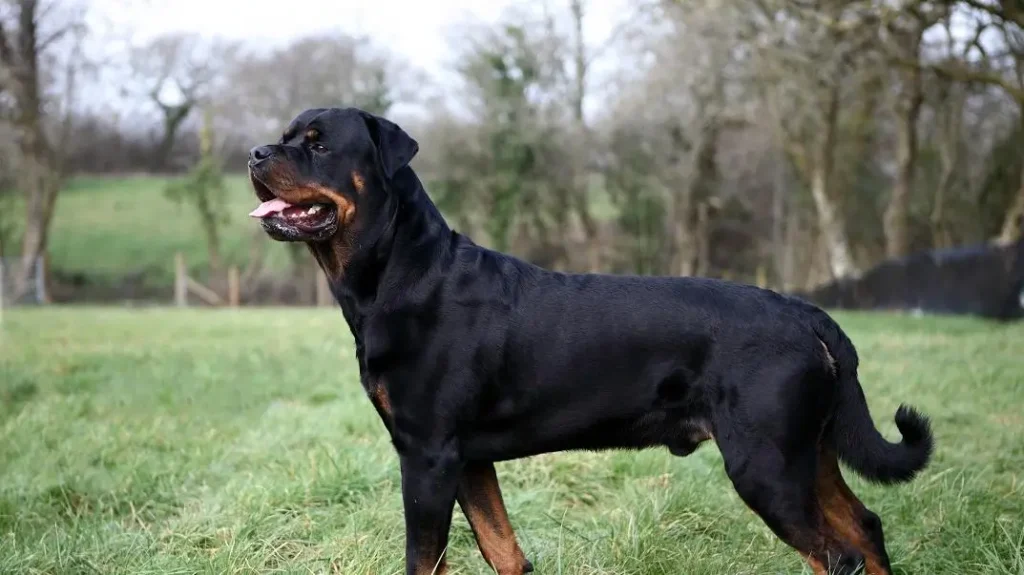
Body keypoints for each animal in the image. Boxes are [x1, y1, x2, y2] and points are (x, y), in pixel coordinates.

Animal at [247, 108, 937, 572]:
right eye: (285, 136)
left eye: (317, 145)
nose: (254, 153)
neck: (400, 271)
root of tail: (809, 316)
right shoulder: (467, 459)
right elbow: (505, 552)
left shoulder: (427, 455)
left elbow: (425, 560)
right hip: (809, 454)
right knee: (867, 530)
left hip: (767, 467)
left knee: (837, 556)